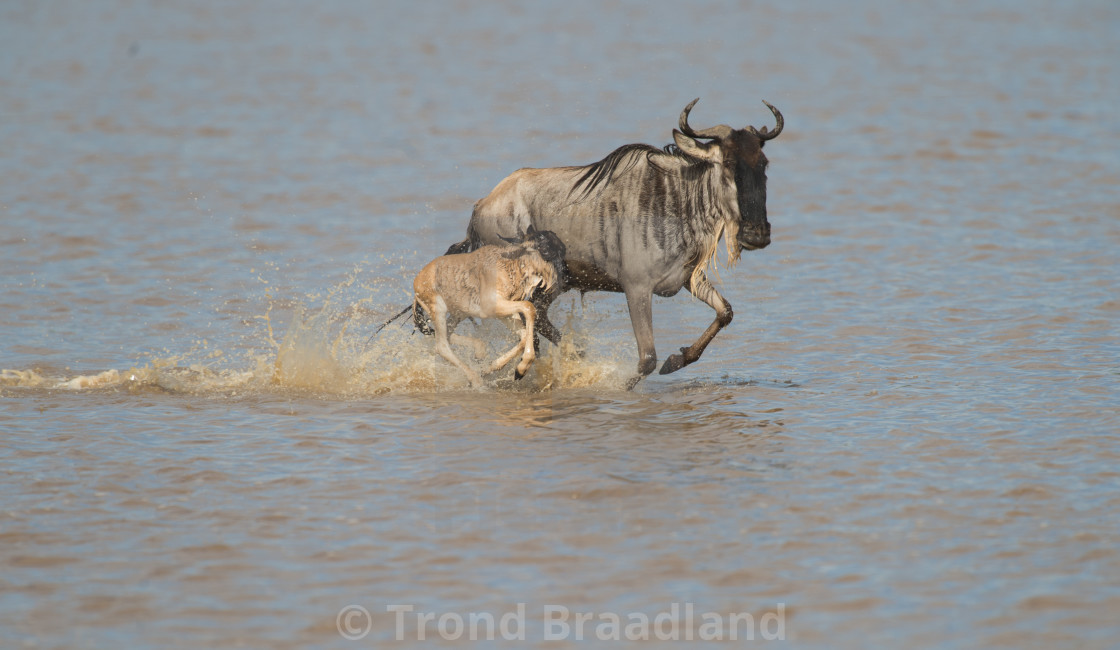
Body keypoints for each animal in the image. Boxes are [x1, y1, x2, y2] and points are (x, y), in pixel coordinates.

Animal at [414, 227, 564, 385]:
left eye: (562, 250)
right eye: (545, 249)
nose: (558, 281)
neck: (508, 265)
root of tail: (418, 280)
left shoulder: (505, 312)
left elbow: (524, 335)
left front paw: (492, 368)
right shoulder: (491, 306)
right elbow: (529, 307)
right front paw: (521, 369)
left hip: (458, 314)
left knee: (447, 337)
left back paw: (479, 353)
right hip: (439, 310)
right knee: (442, 346)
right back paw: (475, 379)